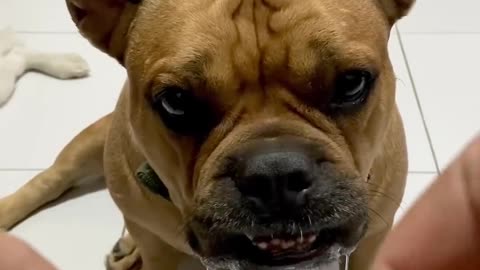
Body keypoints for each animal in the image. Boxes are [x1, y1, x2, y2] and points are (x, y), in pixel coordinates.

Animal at [0, 0, 414, 270]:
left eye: (351, 83)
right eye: (176, 102)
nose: (275, 175)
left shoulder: (371, 240)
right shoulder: (160, 253)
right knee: (51, 178)